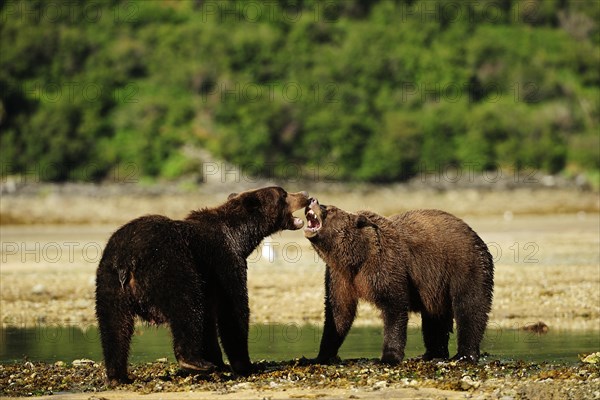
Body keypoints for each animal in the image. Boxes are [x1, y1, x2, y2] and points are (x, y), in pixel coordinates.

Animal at [95, 188, 310, 384]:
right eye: (283, 194)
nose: (305, 195)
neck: (240, 237)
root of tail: (128, 258)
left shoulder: (210, 281)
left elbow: (208, 319)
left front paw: (218, 361)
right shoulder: (224, 263)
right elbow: (233, 311)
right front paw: (245, 365)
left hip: (108, 281)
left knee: (114, 326)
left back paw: (117, 376)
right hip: (170, 265)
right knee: (185, 306)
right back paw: (194, 362)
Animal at [304, 198, 492, 364]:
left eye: (329, 209)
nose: (313, 200)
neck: (355, 258)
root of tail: (473, 233)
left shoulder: (385, 264)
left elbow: (394, 306)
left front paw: (388, 357)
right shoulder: (338, 276)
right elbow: (338, 312)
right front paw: (319, 356)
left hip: (465, 266)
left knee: (470, 306)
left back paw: (464, 355)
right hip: (437, 287)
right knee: (434, 319)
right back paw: (430, 354)